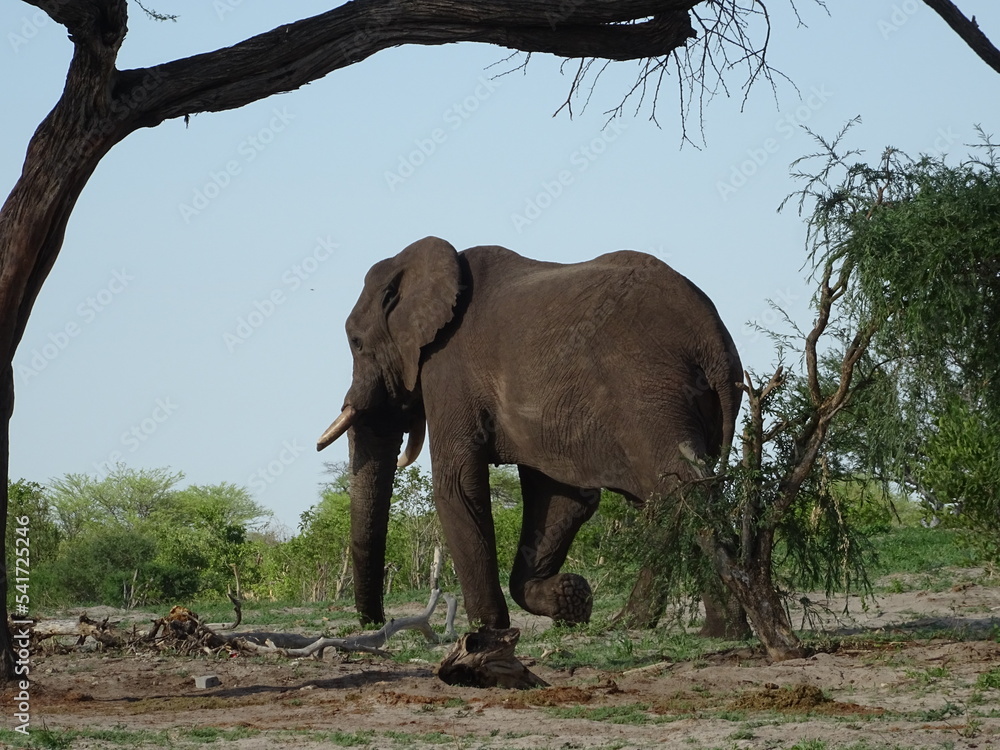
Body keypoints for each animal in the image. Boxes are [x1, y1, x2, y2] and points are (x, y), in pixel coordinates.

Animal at [317, 236, 743, 630]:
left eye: (356, 342)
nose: (378, 621)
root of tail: (712, 338)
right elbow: (560, 500)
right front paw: (571, 600)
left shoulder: (447, 366)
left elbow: (457, 486)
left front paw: (489, 627)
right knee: (666, 503)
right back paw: (638, 624)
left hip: (649, 392)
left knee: (684, 491)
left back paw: (719, 631)